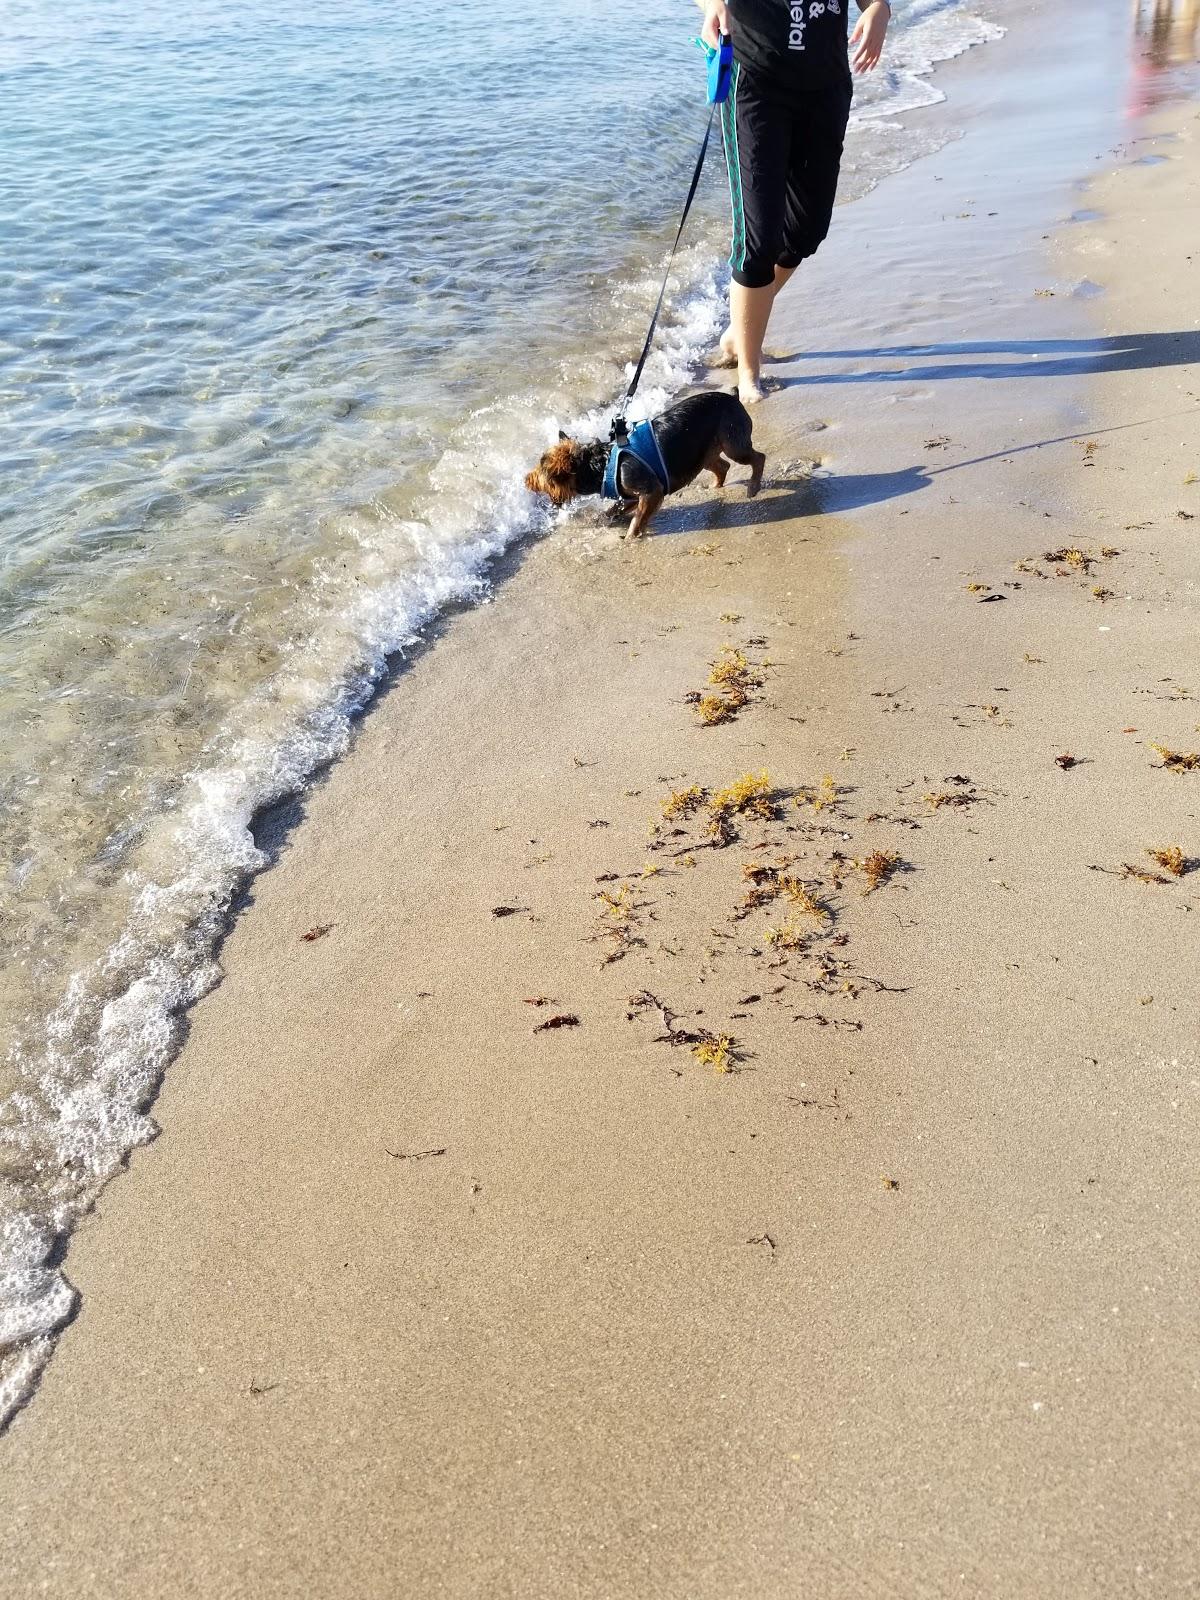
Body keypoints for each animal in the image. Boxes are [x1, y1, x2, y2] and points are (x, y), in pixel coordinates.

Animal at [524, 387, 771, 537]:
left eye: (539, 474)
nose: (525, 480)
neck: (600, 465)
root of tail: (734, 396)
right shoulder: (632, 496)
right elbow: (614, 510)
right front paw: (603, 520)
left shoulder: (651, 491)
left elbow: (637, 520)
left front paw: (629, 538)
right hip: (703, 453)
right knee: (722, 466)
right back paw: (715, 487)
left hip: (733, 442)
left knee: (758, 457)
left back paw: (753, 487)